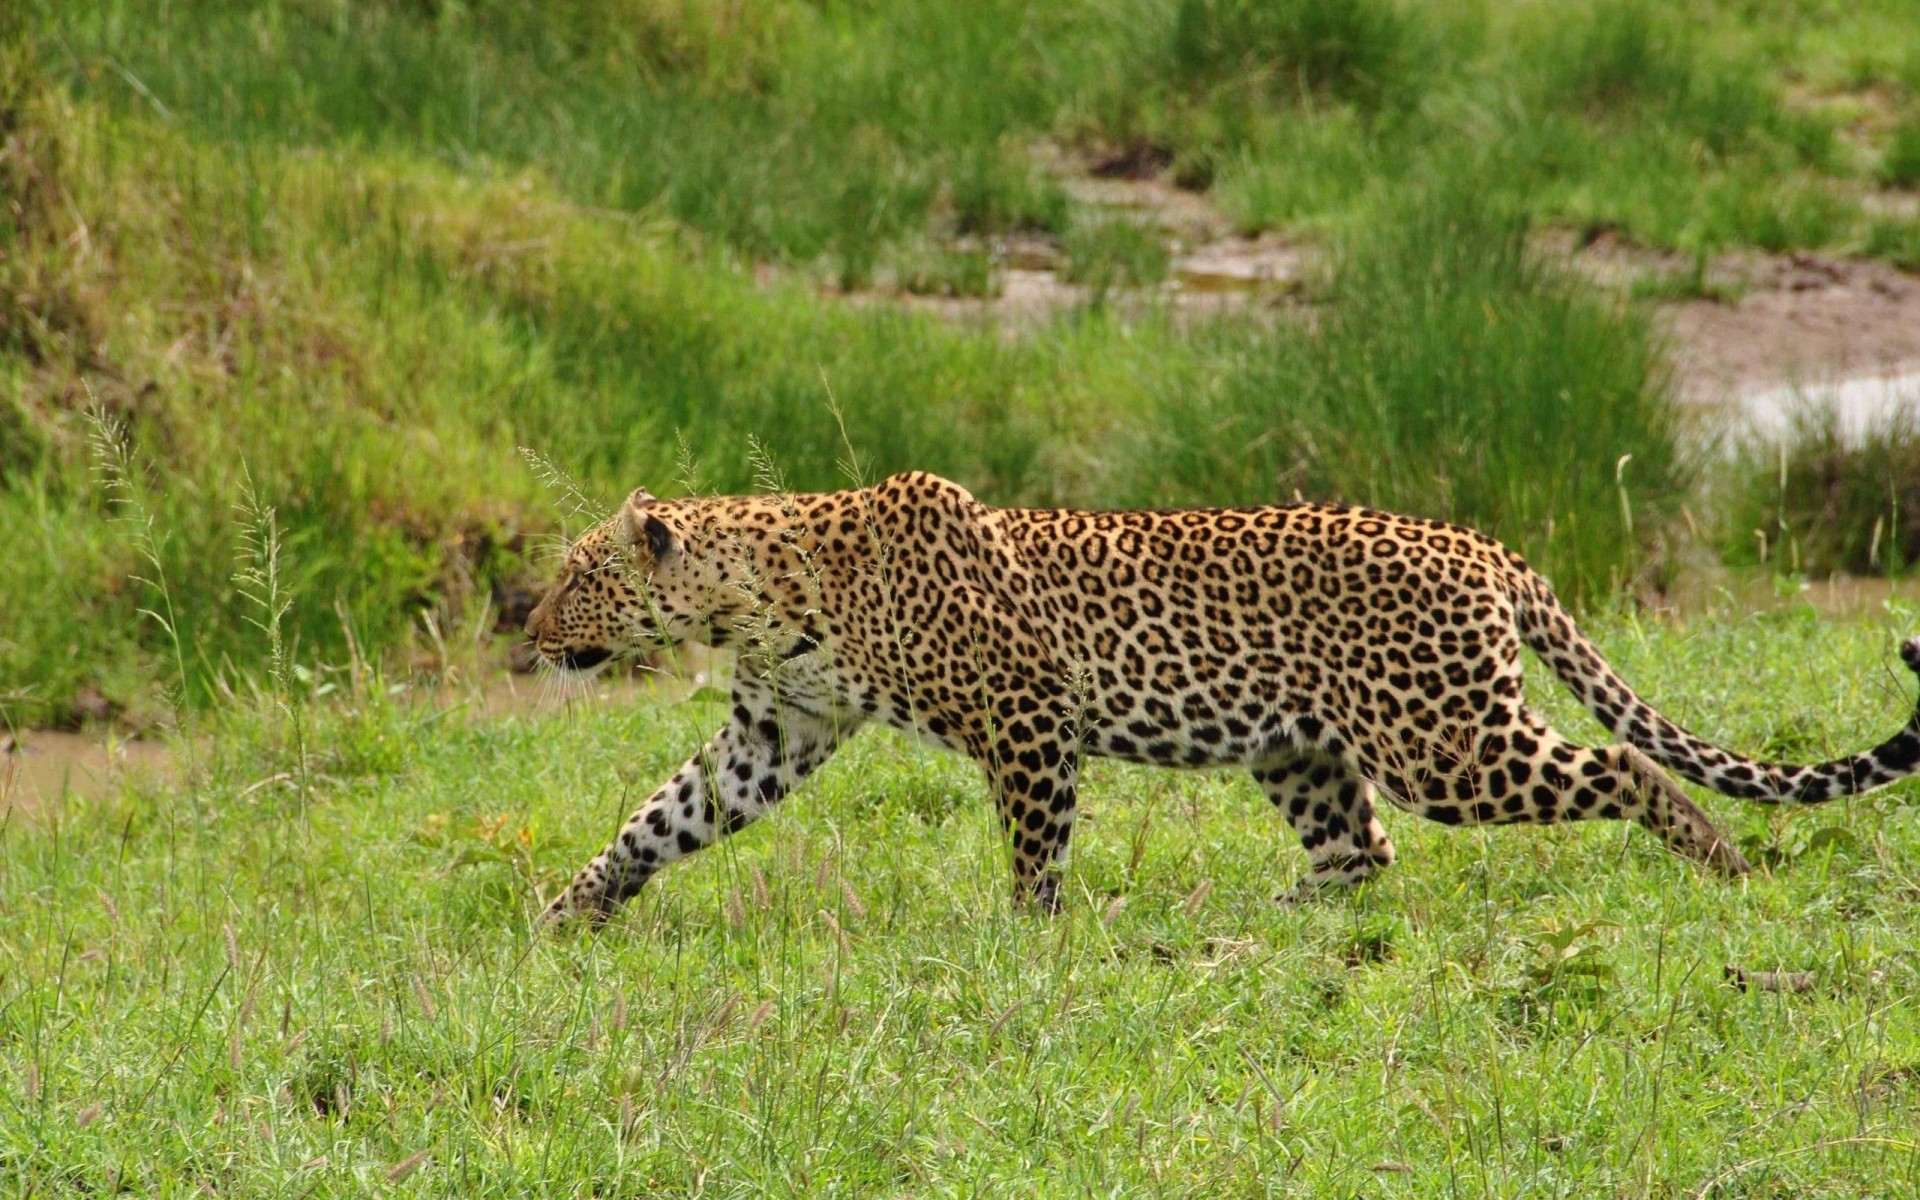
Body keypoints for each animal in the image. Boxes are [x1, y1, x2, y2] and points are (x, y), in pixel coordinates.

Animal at [526, 466, 1920, 917]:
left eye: (576, 578)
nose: (528, 632)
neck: (757, 593)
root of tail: (1488, 548)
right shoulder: (778, 730)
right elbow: (664, 816)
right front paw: (569, 913)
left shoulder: (1029, 722)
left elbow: (1032, 852)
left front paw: (1028, 940)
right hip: (1300, 749)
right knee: (1361, 854)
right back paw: (1266, 918)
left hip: (1445, 740)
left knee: (1618, 766)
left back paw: (1723, 865)